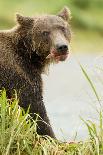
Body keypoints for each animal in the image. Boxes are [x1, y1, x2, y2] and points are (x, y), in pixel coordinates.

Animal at [0, 6, 71, 138]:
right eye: (45, 32)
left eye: (62, 28)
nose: (62, 47)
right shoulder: (18, 73)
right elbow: (33, 109)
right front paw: (52, 137)